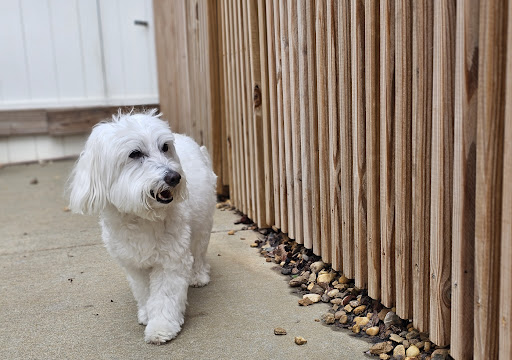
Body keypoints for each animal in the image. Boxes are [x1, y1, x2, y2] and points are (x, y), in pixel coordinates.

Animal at [67, 109, 216, 344]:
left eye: (165, 147)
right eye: (135, 154)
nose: (175, 177)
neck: (141, 217)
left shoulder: (171, 261)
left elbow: (165, 295)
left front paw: (161, 326)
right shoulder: (134, 265)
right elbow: (145, 291)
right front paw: (147, 313)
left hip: (202, 225)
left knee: (199, 252)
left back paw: (198, 276)